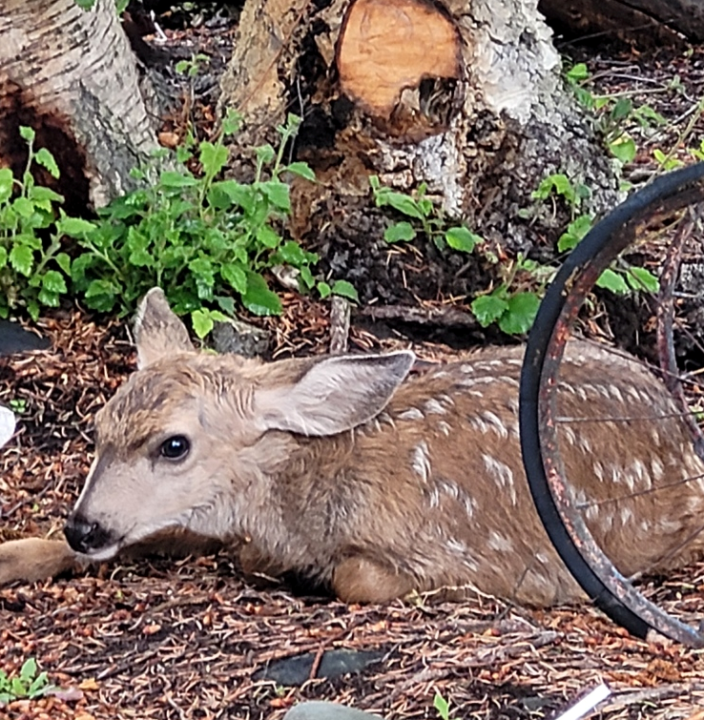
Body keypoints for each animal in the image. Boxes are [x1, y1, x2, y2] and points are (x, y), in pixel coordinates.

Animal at [1, 288, 704, 608]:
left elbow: (353, 577)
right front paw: (16, 556)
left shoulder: (476, 560)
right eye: (98, 426)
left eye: (174, 445)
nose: (85, 526)